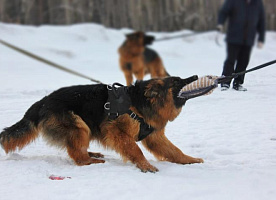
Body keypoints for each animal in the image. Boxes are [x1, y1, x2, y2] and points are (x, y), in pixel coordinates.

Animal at [0, 76, 203, 173]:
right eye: (177, 81)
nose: (195, 76)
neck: (139, 103)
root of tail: (42, 102)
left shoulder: (154, 137)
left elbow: (174, 151)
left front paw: (190, 160)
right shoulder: (116, 131)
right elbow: (135, 149)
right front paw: (145, 165)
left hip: (84, 128)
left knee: (77, 149)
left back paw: (91, 154)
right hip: (79, 126)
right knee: (77, 156)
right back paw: (90, 161)